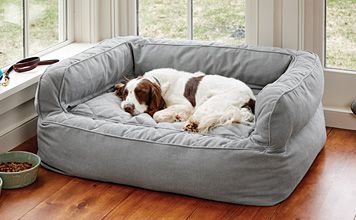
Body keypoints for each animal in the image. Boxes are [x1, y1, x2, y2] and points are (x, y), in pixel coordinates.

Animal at [116, 68, 256, 131]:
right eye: (125, 93)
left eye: (141, 92)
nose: (127, 107)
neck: (160, 82)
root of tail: (252, 97)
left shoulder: (186, 105)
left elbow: (156, 114)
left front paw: (176, 116)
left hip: (210, 103)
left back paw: (191, 124)